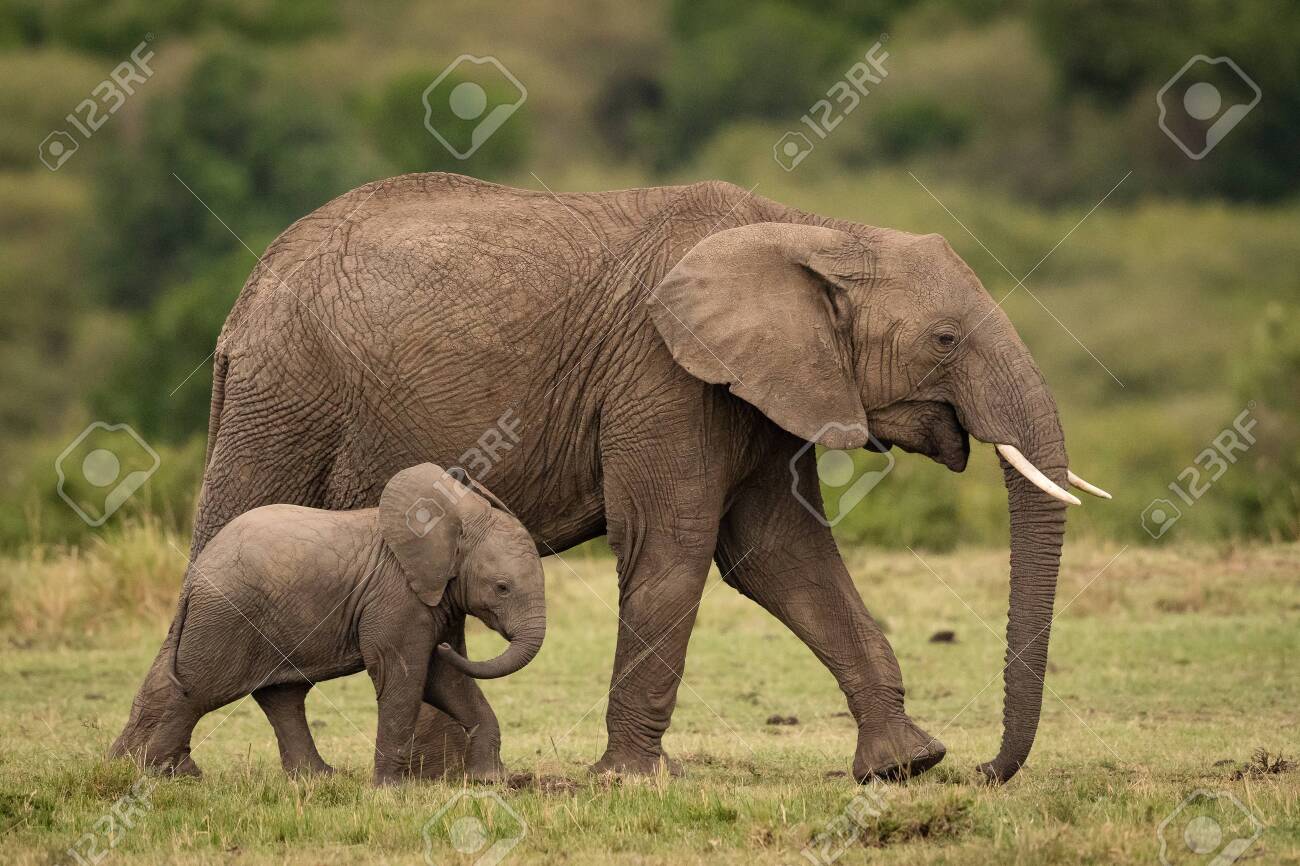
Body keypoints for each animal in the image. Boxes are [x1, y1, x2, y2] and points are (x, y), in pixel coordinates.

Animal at [110, 463, 546, 785]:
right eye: (502, 588)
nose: (446, 644)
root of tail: (194, 578)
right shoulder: (396, 594)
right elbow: (402, 674)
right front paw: (392, 790)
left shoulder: (436, 597)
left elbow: (443, 678)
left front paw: (491, 781)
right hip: (225, 618)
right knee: (197, 691)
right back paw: (162, 776)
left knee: (280, 695)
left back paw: (317, 779)